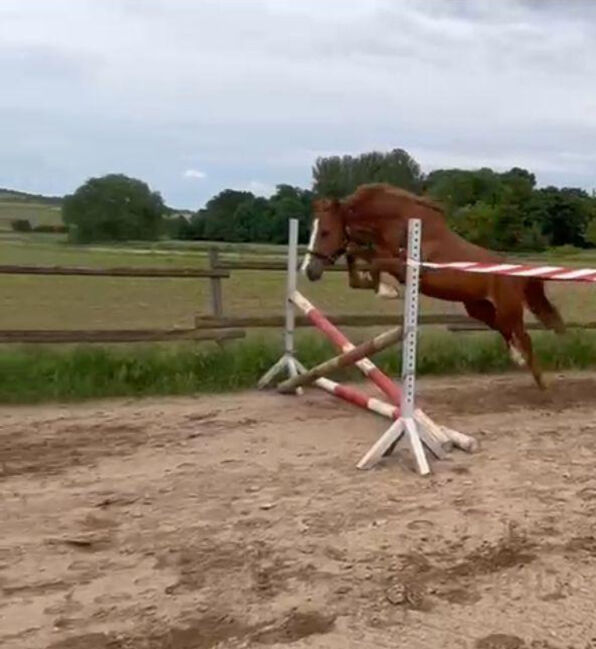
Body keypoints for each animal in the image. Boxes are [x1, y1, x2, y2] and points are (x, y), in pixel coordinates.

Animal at [300, 182, 564, 388]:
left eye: (325, 232)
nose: (310, 271)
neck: (400, 224)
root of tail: (519, 271)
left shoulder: (402, 266)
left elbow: (370, 260)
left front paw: (386, 291)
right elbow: (358, 257)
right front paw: (374, 285)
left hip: (508, 307)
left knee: (523, 335)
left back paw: (542, 384)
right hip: (479, 308)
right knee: (505, 329)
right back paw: (518, 358)